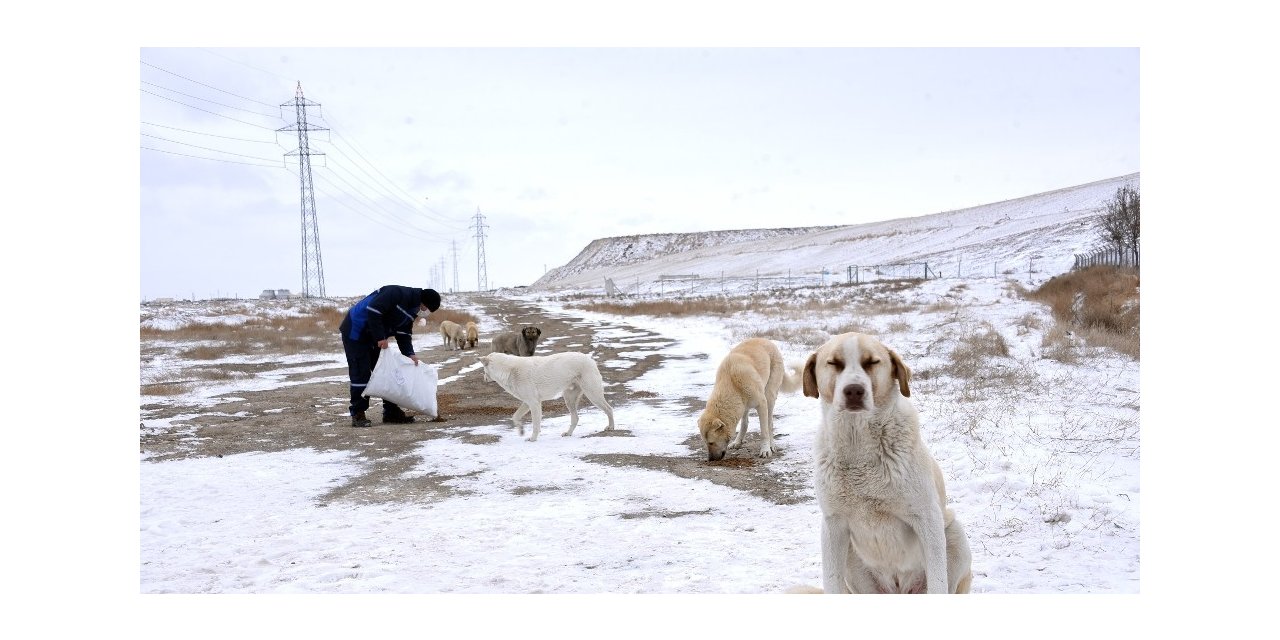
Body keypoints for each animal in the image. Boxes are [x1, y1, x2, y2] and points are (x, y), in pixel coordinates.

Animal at [481, 350, 616, 440]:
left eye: (483, 370)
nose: (484, 379)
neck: (509, 371)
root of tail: (590, 359)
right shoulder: (528, 402)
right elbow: (515, 416)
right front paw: (521, 430)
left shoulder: (534, 404)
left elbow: (535, 425)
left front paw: (533, 438)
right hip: (569, 399)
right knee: (575, 418)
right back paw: (568, 433)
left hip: (593, 394)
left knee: (609, 409)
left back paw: (611, 427)